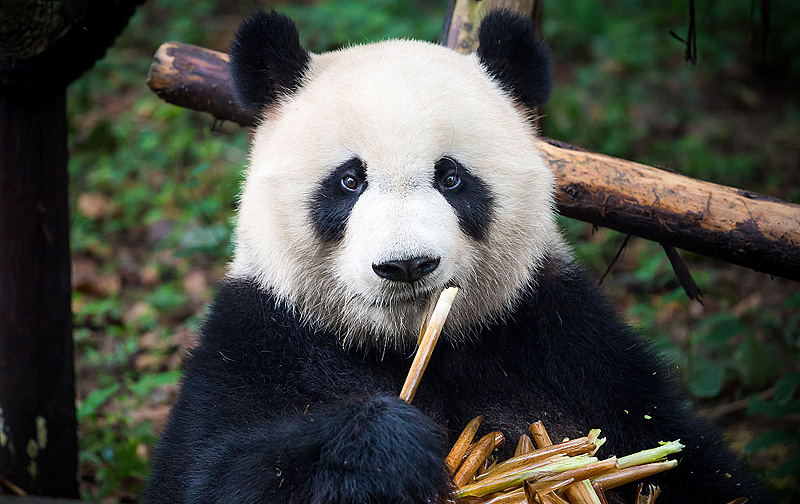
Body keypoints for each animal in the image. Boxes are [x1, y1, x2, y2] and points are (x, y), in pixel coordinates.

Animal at [144, 8, 776, 504]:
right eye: (349, 180)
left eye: (451, 177)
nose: (406, 266)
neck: (409, 346)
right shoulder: (260, 342)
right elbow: (210, 475)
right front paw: (386, 447)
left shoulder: (565, 341)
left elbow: (689, 460)